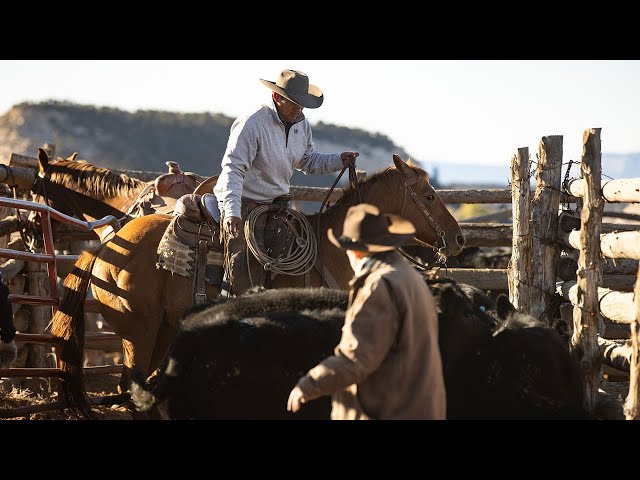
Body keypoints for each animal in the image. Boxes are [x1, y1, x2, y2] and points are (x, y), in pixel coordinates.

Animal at [46, 156, 464, 418]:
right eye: (429, 196)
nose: (458, 238)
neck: (331, 249)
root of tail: (108, 241)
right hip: (138, 329)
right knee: (132, 388)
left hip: (162, 328)